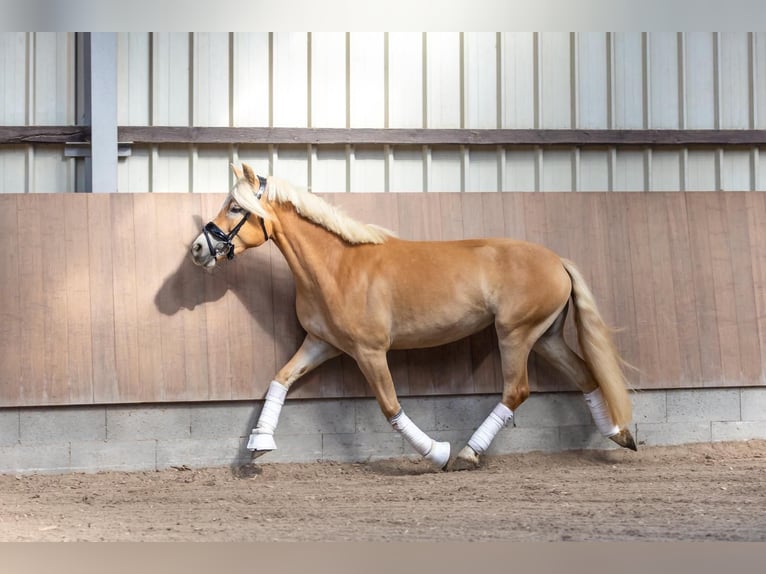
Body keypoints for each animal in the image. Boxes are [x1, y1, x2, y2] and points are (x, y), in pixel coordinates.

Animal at [190, 164, 636, 470]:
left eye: (235, 207)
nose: (197, 248)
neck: (337, 266)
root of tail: (558, 261)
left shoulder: (369, 352)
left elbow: (390, 407)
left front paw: (437, 453)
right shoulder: (322, 344)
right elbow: (280, 379)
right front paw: (259, 444)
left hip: (516, 334)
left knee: (517, 390)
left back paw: (467, 454)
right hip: (546, 337)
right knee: (586, 376)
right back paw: (621, 435)